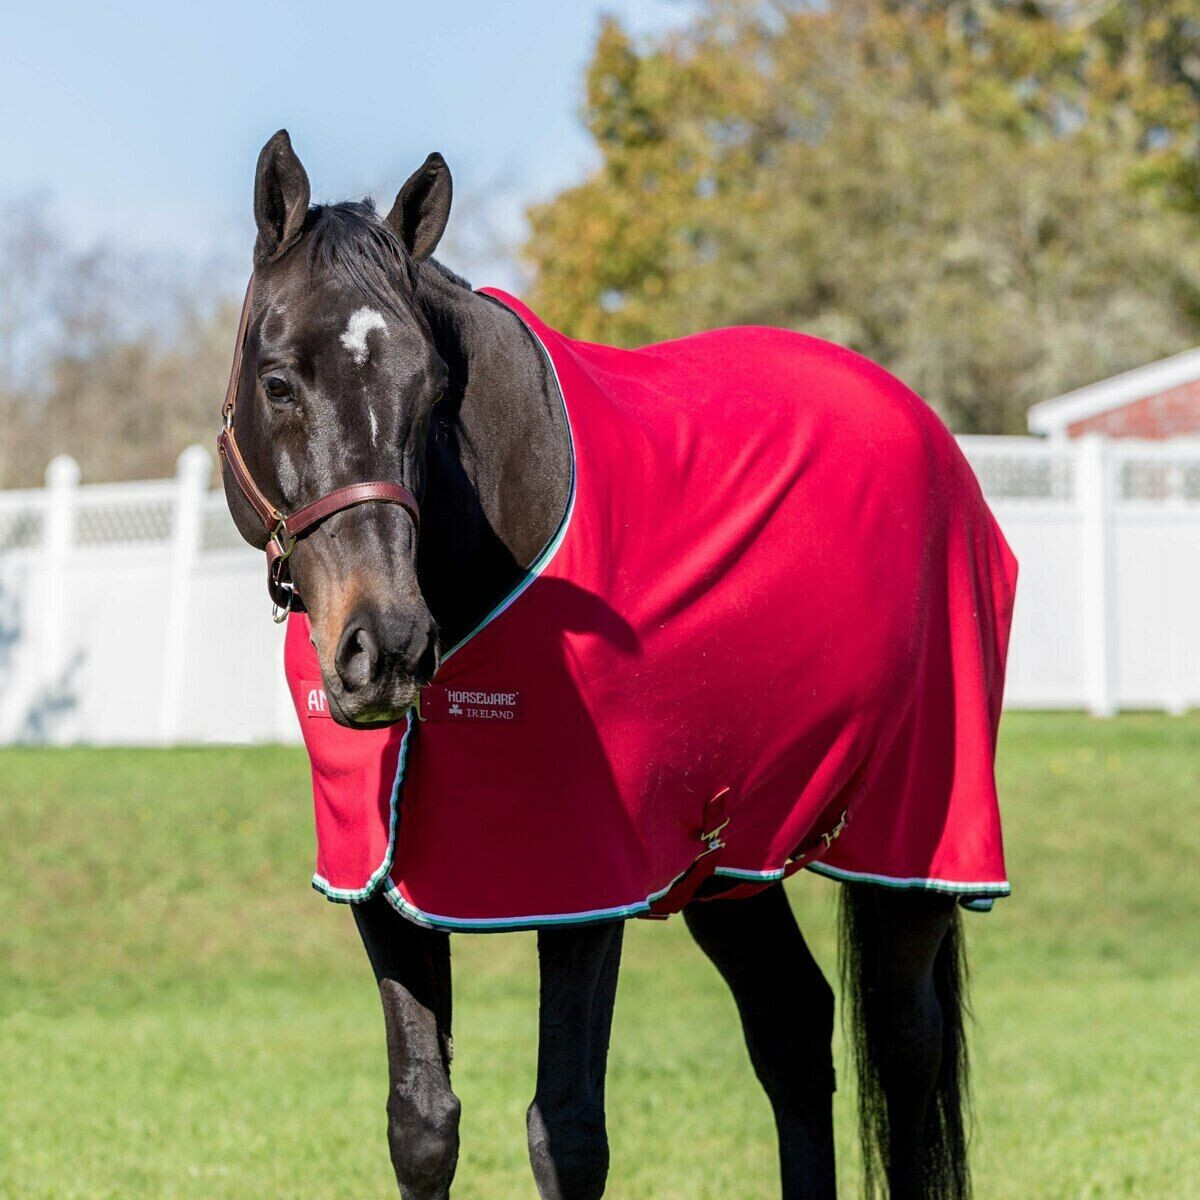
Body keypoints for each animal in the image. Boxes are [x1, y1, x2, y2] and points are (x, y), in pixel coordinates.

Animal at [219, 129, 1016, 1200]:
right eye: (278, 381)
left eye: (431, 393)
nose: (385, 650)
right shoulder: (379, 882)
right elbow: (421, 1123)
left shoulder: (585, 886)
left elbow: (567, 1131)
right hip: (731, 862)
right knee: (793, 1027)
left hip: (911, 852)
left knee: (902, 1051)